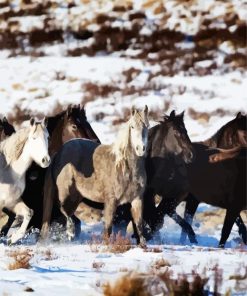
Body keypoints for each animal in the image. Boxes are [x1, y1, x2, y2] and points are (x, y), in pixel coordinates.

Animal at [40, 106, 149, 245]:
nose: (141, 148)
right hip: (66, 192)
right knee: (63, 210)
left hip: (76, 196)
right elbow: (108, 226)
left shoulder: (137, 199)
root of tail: (59, 153)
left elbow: (139, 224)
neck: (124, 167)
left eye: (147, 126)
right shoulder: (111, 201)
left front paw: (143, 245)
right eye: (132, 127)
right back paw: (70, 231)